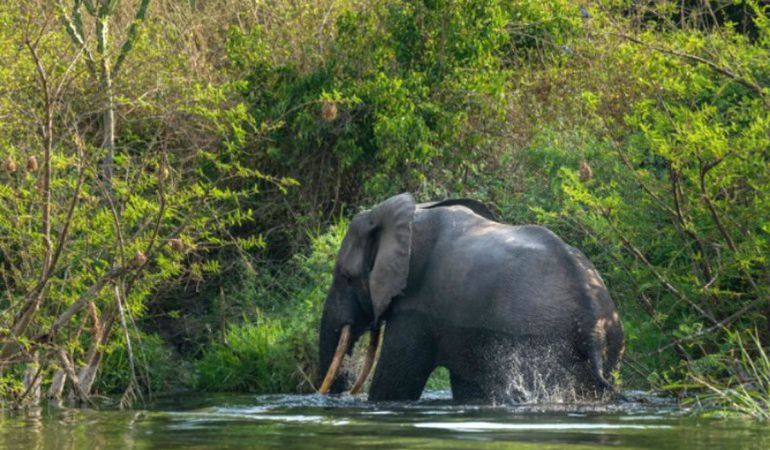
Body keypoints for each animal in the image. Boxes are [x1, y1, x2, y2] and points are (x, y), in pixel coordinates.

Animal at [316, 192, 620, 402]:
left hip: (540, 340)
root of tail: (593, 327)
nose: (344, 387)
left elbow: (394, 386)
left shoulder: (415, 307)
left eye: (345, 276)